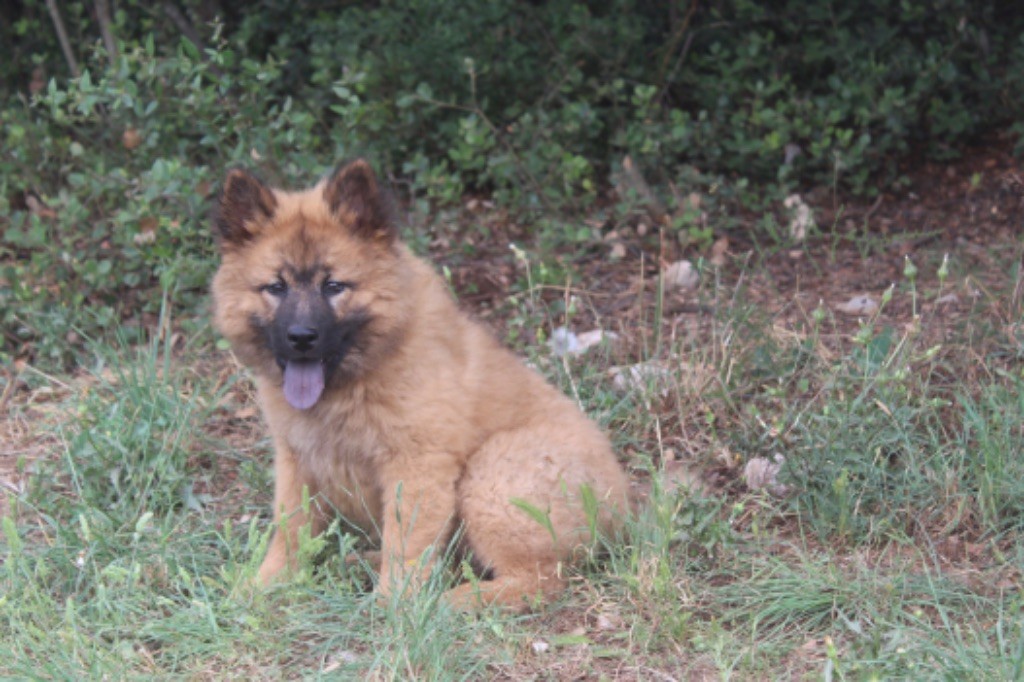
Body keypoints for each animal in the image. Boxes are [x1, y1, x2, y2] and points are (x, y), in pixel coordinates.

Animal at [210, 160, 626, 610]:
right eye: (276, 287)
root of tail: (622, 507)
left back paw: (450, 602)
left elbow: (405, 542)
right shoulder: (297, 460)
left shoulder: (416, 464)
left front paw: (395, 607)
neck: (352, 382)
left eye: (334, 286)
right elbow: (289, 531)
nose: (301, 337)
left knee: (538, 580)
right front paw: (263, 586)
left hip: (490, 475)